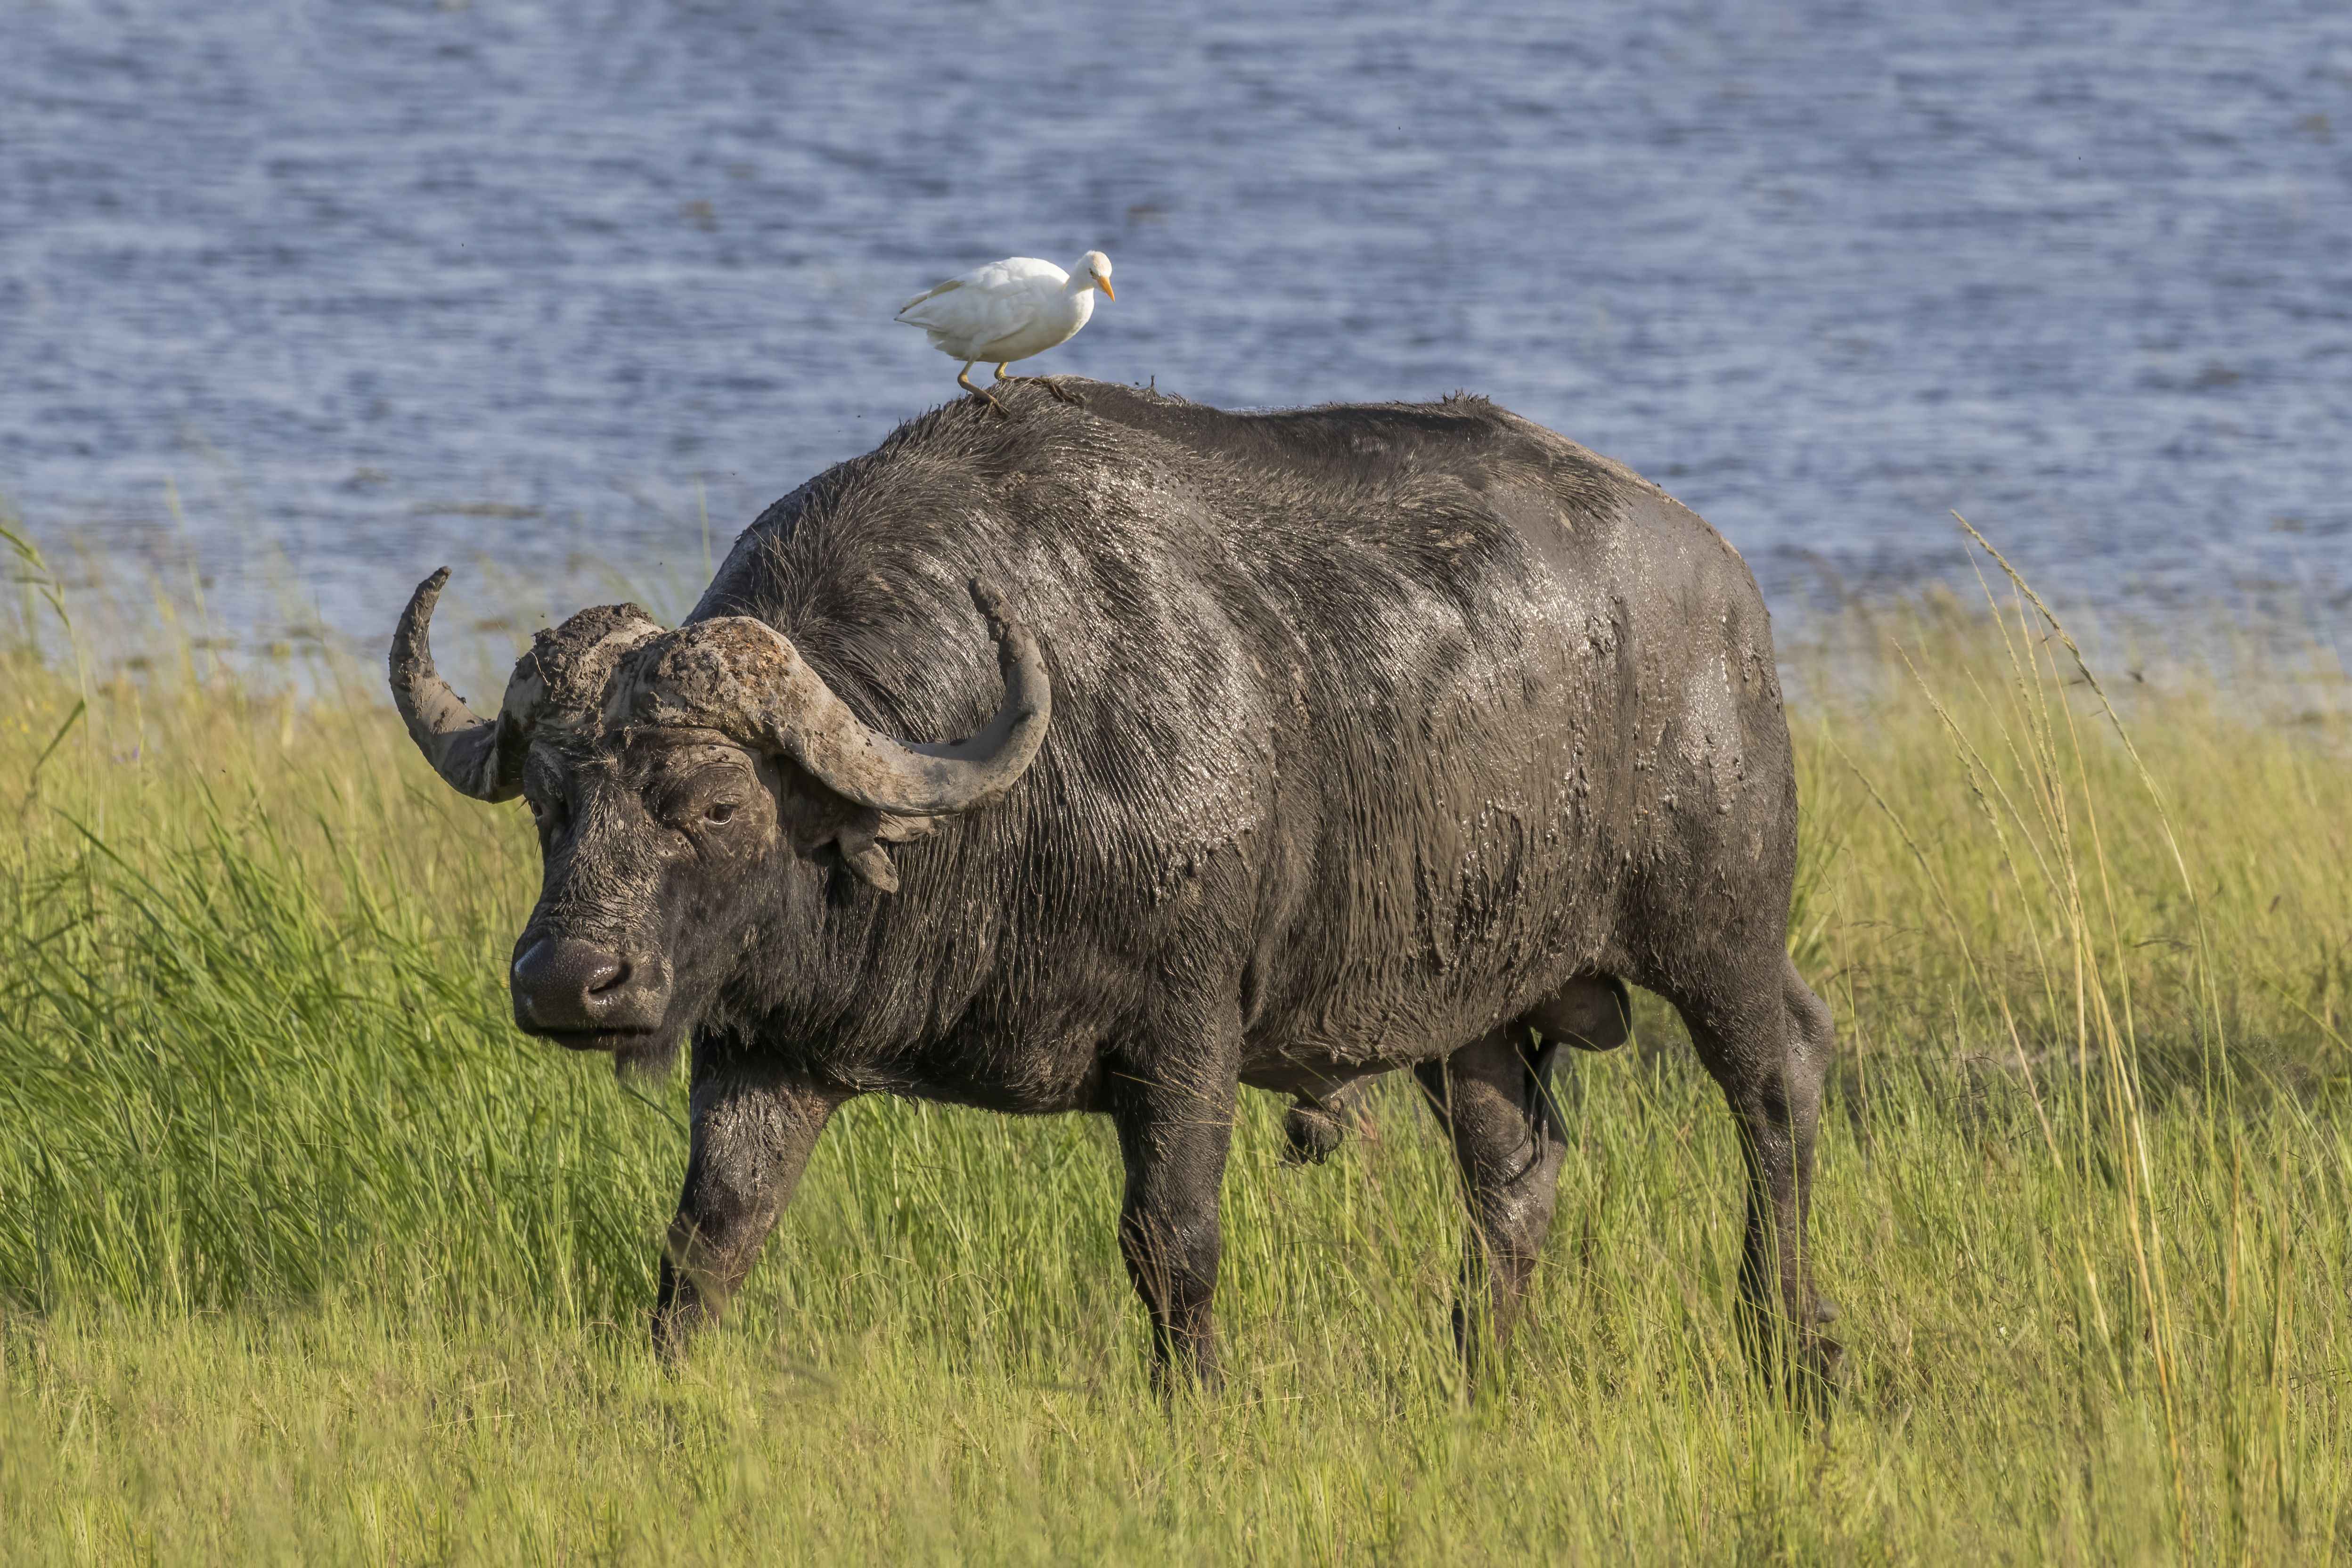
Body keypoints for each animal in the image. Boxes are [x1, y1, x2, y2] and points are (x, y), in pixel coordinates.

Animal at [390, 383, 1834, 1401]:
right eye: (552, 804)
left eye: (716, 804)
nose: (568, 985)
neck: (998, 811)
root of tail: (1722, 584)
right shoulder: (765, 1049)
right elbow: (709, 1237)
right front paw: (662, 1385)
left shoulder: (1186, 1037)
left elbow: (1169, 1239)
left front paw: (1193, 1395)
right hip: (1466, 1006)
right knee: (1517, 1166)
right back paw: (1478, 1365)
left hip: (1719, 930)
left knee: (1780, 1090)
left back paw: (1793, 1344)